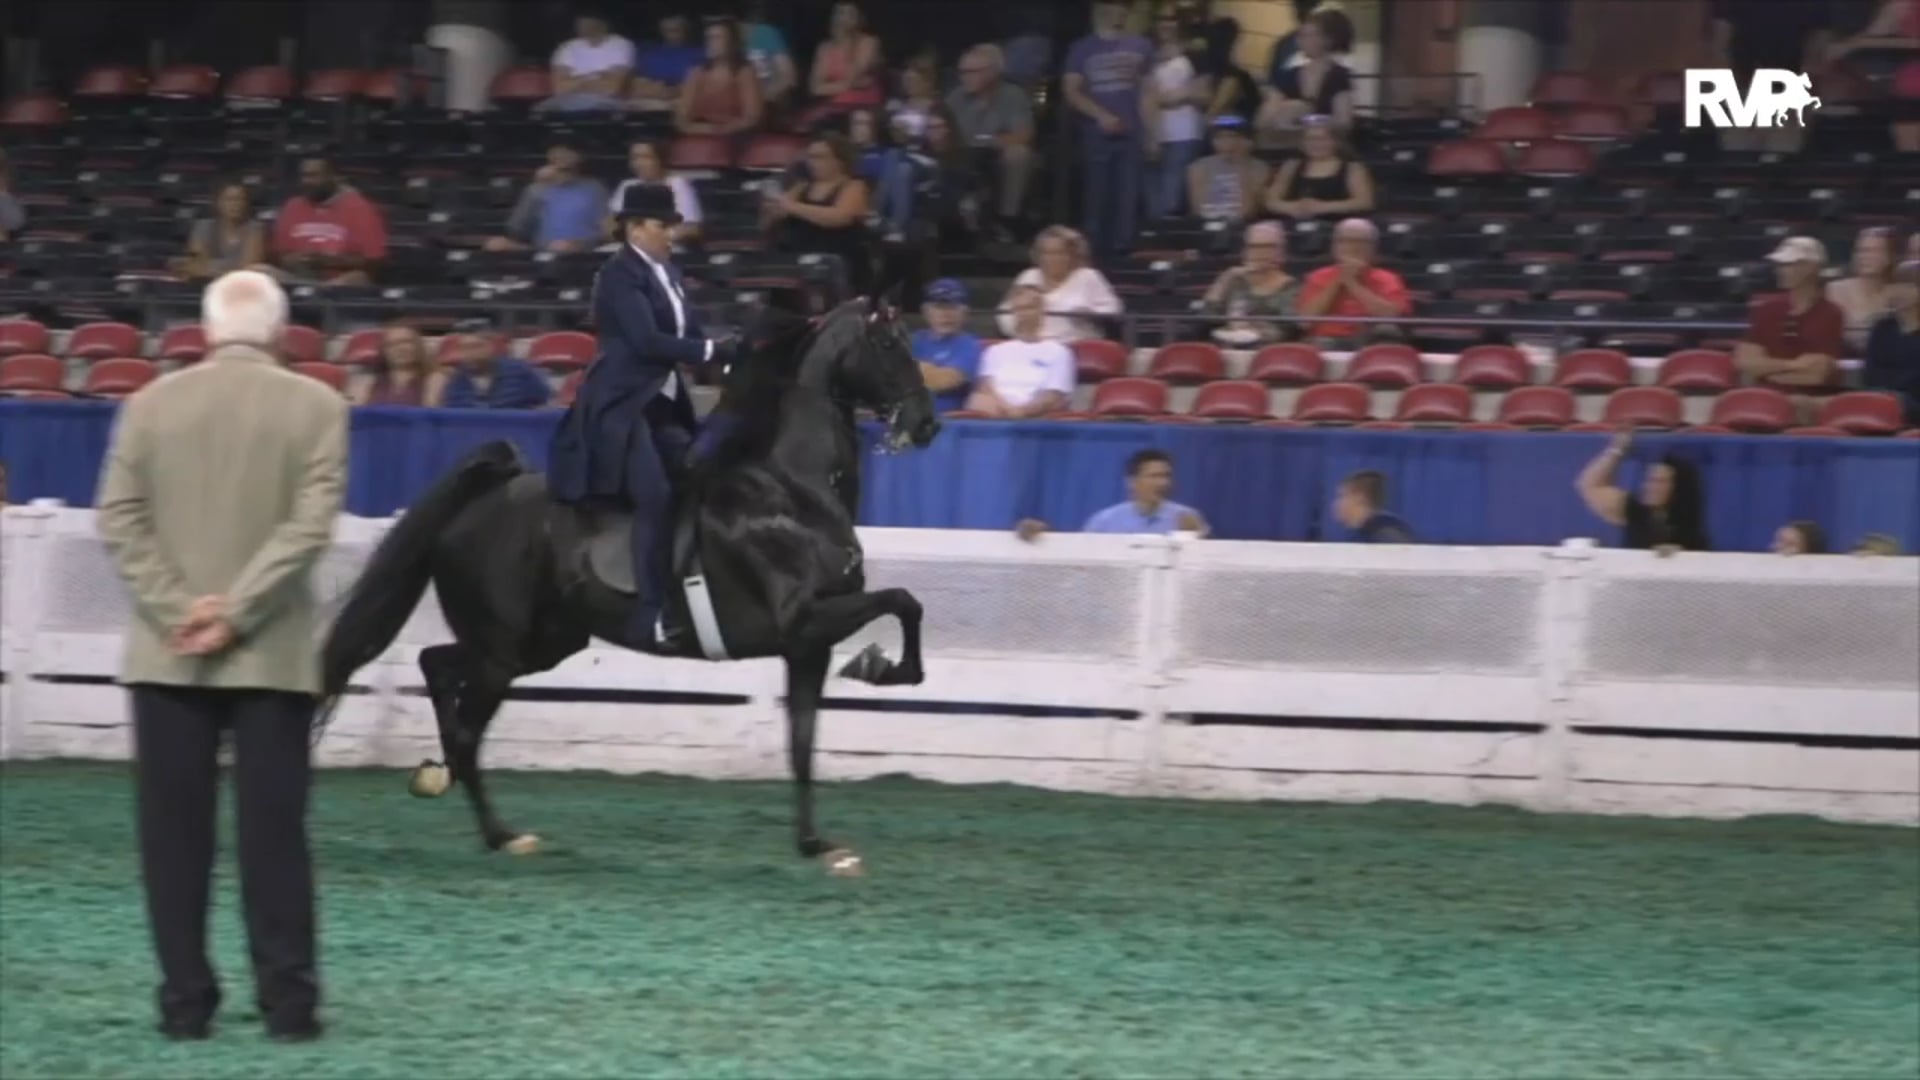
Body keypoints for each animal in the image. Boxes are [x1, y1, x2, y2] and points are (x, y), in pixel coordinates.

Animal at [315, 296, 941, 873]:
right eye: (889, 344)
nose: (926, 425)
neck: (792, 492)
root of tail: (489, 495)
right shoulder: (805, 620)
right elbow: (904, 602)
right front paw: (881, 667)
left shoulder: (809, 645)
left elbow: (803, 743)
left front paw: (816, 845)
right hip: (504, 650)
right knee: (467, 728)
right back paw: (502, 835)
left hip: (540, 643)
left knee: (437, 665)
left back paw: (436, 775)